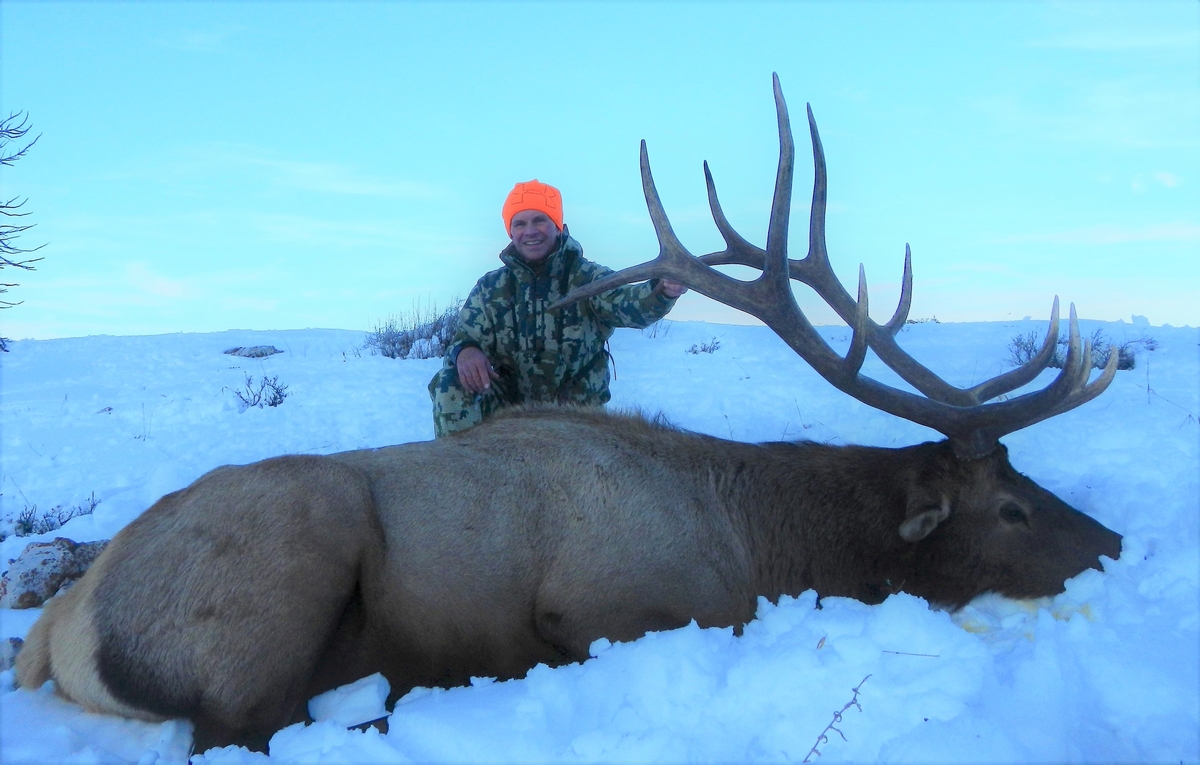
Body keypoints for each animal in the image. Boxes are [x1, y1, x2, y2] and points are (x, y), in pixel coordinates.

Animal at [16, 79, 1123, 757]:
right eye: (1013, 508)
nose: (1113, 542)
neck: (761, 539)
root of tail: (57, 628)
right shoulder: (610, 601)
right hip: (288, 563)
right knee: (246, 726)